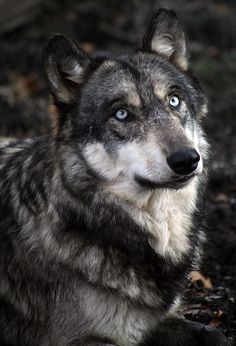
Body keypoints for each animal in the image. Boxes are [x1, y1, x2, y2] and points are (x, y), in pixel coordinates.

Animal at [0, 7, 230, 346]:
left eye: (174, 101)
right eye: (121, 114)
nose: (187, 160)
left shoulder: (159, 319)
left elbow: (213, 335)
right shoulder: (77, 339)